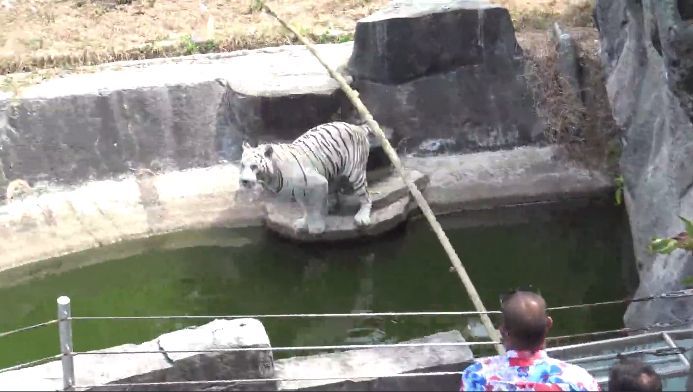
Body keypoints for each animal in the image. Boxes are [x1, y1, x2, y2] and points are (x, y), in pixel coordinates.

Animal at [239, 121, 374, 234]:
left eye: (254, 166)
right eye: (242, 165)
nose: (244, 181)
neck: (271, 176)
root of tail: (358, 127)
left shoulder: (318, 183)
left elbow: (315, 208)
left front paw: (316, 228)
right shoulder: (300, 191)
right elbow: (306, 208)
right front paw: (304, 223)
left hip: (356, 173)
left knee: (366, 197)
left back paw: (362, 217)